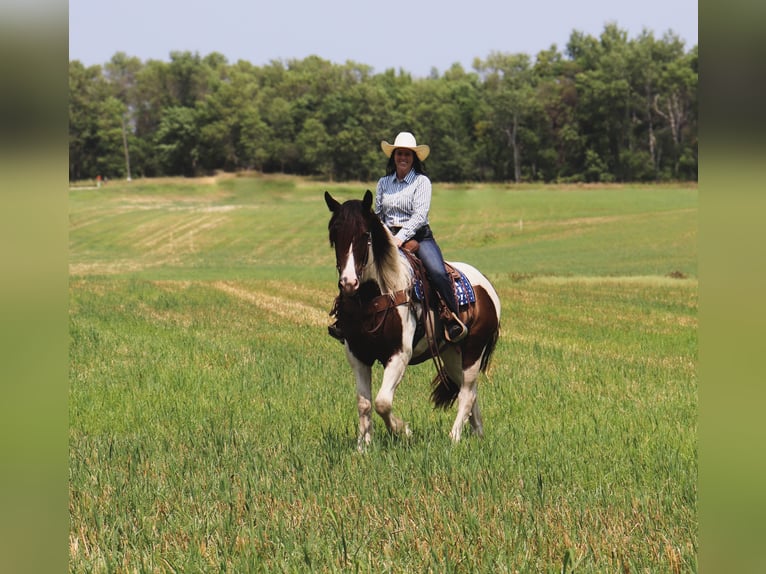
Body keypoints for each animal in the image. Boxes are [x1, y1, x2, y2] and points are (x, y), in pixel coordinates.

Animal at [326, 189, 500, 450]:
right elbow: (364, 403)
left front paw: (403, 431)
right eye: (334, 234)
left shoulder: (399, 354)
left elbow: (382, 402)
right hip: (451, 354)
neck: (374, 297)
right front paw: (362, 447)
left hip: (473, 351)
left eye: (365, 234)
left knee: (467, 393)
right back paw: (478, 434)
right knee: (469, 391)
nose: (348, 282)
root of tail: (487, 287)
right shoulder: (357, 355)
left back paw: (454, 437)